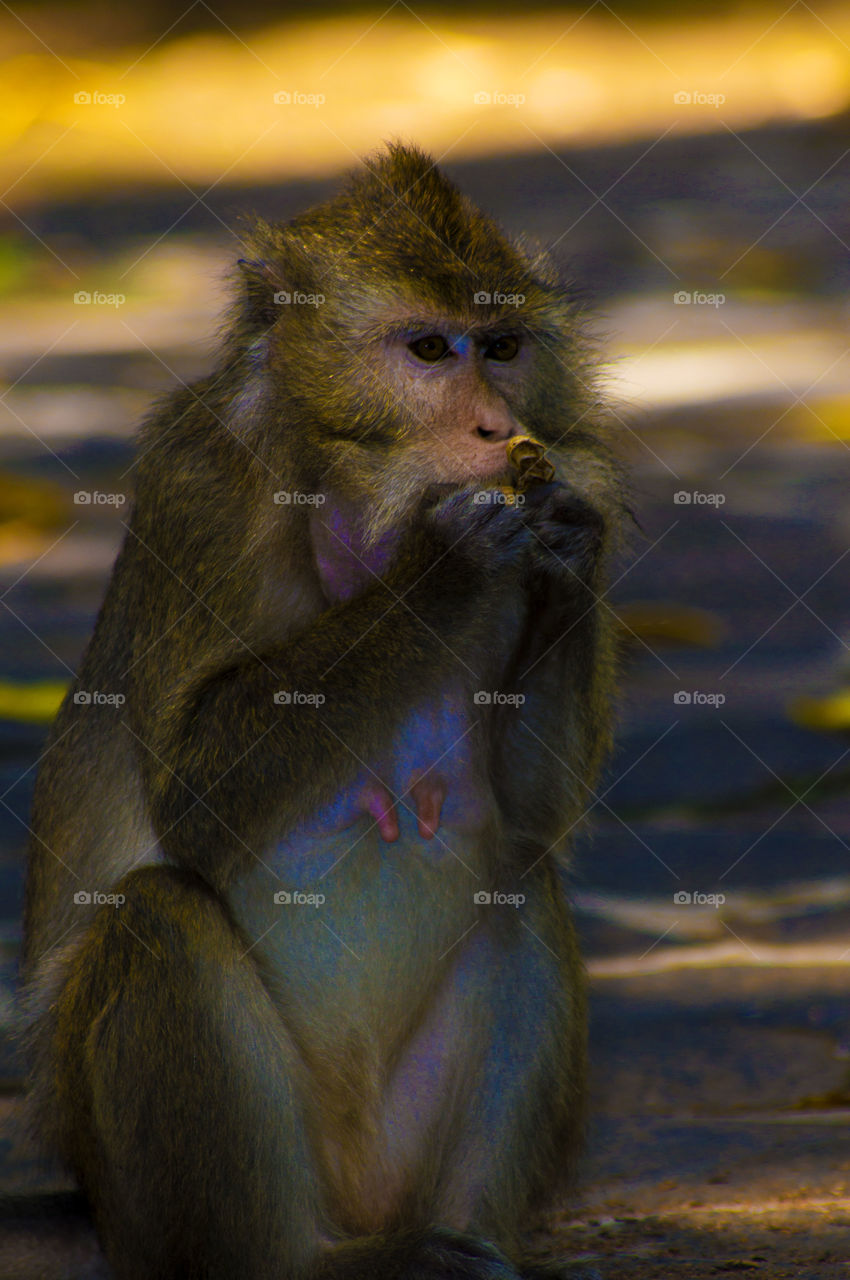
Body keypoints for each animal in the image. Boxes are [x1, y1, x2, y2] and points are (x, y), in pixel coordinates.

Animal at [21, 142, 624, 1279]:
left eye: (502, 346)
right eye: (429, 348)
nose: (497, 428)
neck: (341, 496)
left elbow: (530, 814)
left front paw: (570, 536)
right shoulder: (201, 492)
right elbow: (191, 800)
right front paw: (442, 563)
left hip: (393, 1157)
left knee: (521, 880)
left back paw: (474, 1242)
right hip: (148, 1189)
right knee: (158, 914)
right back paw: (300, 1262)